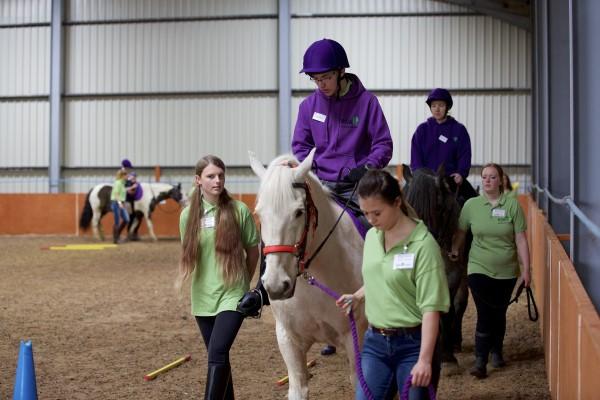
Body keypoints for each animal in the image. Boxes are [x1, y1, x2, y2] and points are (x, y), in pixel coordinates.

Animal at [248, 151, 366, 400]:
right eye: (259, 213)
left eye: (299, 212)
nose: (276, 285)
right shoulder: (288, 338)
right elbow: (298, 388)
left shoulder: (356, 337)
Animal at [400, 164, 472, 374]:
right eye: (407, 205)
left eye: (439, 207)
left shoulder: (453, 276)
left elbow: (447, 311)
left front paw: (448, 358)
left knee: (460, 303)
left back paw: (455, 341)